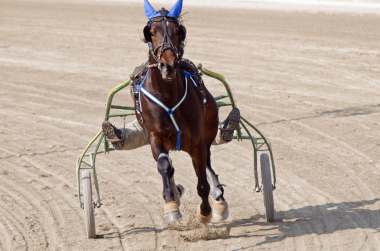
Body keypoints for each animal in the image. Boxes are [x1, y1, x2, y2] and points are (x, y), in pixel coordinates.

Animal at [135, 0, 227, 224]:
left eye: (178, 31)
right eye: (151, 32)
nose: (168, 65)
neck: (168, 95)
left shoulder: (197, 142)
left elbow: (202, 180)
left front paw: (205, 211)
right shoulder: (155, 136)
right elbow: (164, 165)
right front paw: (171, 205)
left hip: (207, 134)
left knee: (208, 164)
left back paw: (219, 198)